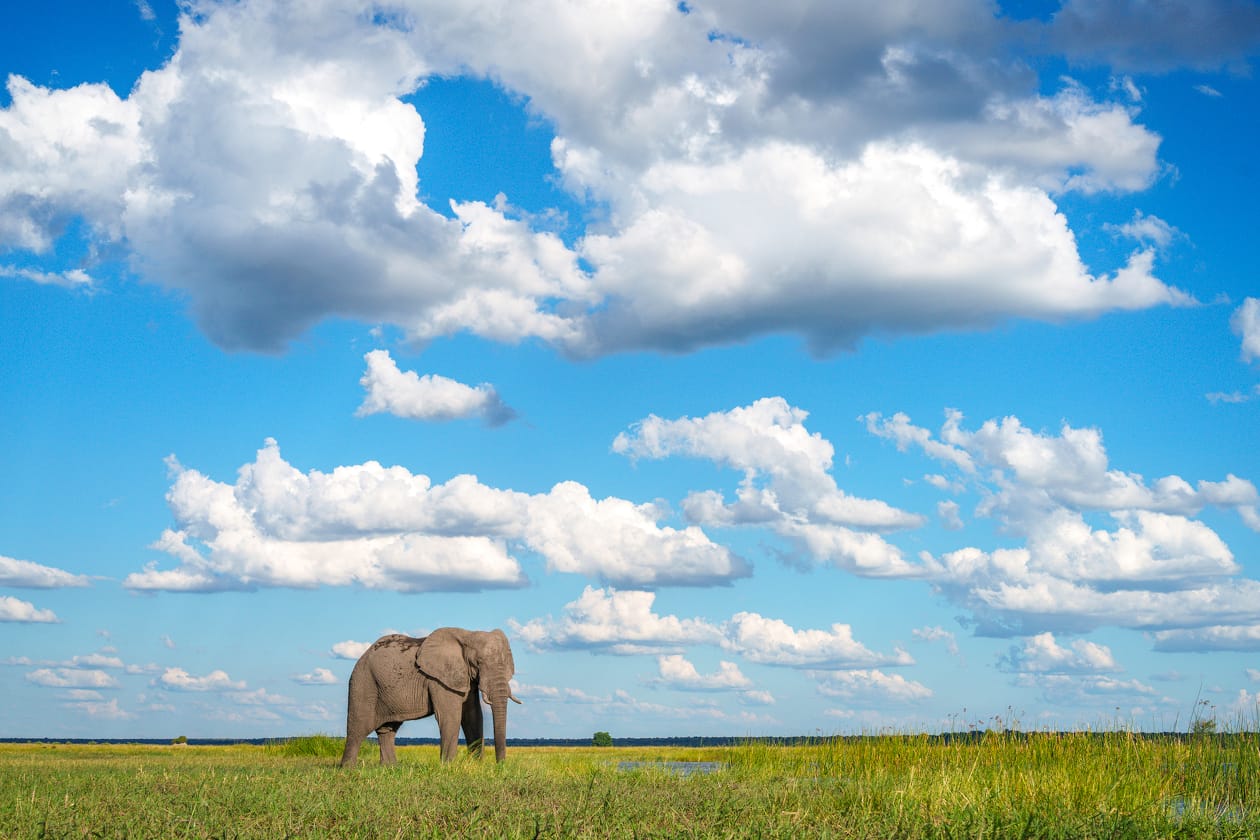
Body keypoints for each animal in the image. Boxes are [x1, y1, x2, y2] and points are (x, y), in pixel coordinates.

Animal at [339, 627, 521, 766]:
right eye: (479, 662)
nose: (500, 765)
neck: (468, 634)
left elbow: (473, 716)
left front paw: (476, 766)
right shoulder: (439, 679)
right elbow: (451, 716)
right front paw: (449, 767)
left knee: (387, 729)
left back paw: (390, 768)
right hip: (363, 683)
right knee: (358, 727)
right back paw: (348, 769)